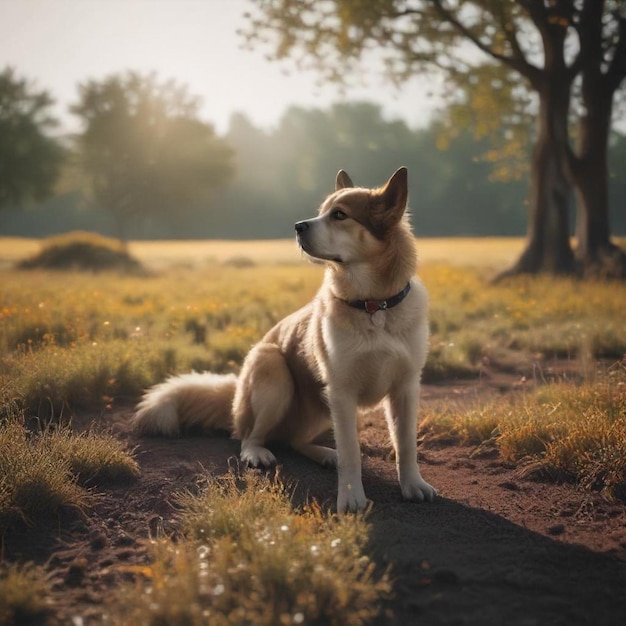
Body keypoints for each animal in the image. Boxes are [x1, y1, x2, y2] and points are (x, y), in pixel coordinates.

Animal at [132, 167, 434, 512]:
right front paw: (351, 497)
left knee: (295, 440)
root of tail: (235, 396)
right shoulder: (342, 392)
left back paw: (324, 454)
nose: (298, 226)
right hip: (273, 367)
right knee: (249, 437)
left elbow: (406, 446)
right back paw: (258, 453)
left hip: (320, 409)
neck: (374, 305)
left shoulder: (405, 388)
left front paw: (412, 484)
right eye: (321, 212)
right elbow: (351, 454)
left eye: (340, 215)